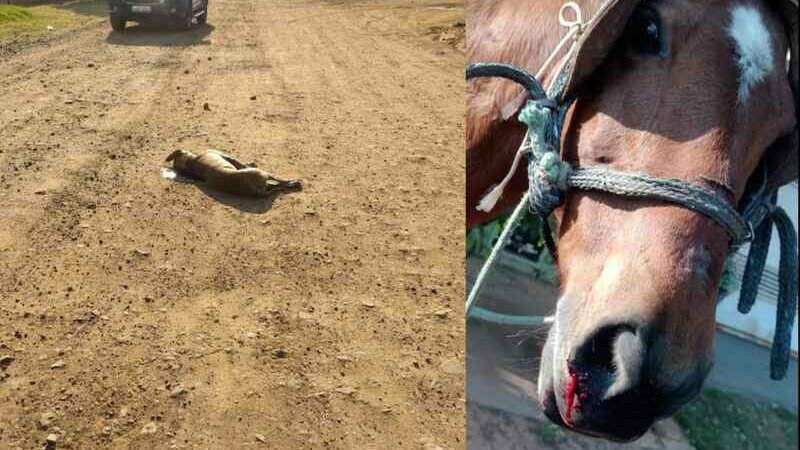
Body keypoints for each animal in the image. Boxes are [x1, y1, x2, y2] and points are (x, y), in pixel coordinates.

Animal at [164, 149, 302, 197]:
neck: (191, 163)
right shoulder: (225, 155)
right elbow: (239, 162)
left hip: (266, 185)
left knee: (277, 187)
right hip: (265, 174)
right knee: (281, 182)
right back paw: (294, 183)